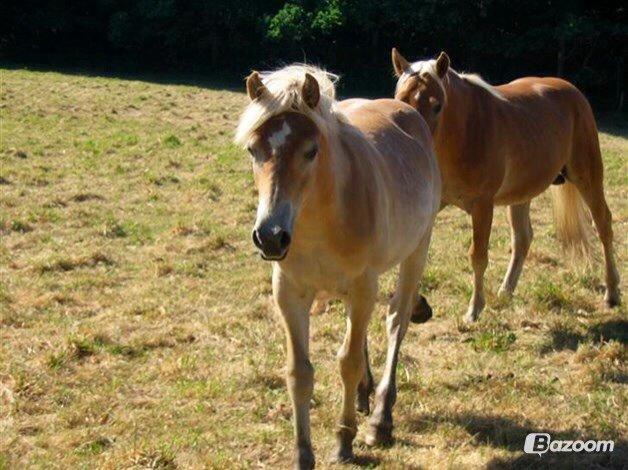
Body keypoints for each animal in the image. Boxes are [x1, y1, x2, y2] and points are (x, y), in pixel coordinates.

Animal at [233, 65, 440, 466]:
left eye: (311, 151)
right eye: (253, 149)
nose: (270, 236)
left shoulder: (362, 286)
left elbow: (347, 362)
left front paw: (344, 441)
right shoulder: (290, 292)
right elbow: (299, 372)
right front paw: (303, 454)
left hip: (415, 252)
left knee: (396, 322)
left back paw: (380, 419)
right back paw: (363, 395)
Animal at [390, 48, 620, 324]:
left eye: (437, 106)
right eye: (399, 99)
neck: (467, 130)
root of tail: (573, 92)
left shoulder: (482, 206)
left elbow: (478, 255)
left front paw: (474, 309)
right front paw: (415, 306)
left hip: (588, 177)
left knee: (603, 226)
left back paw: (612, 292)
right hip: (522, 193)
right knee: (522, 239)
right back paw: (506, 290)